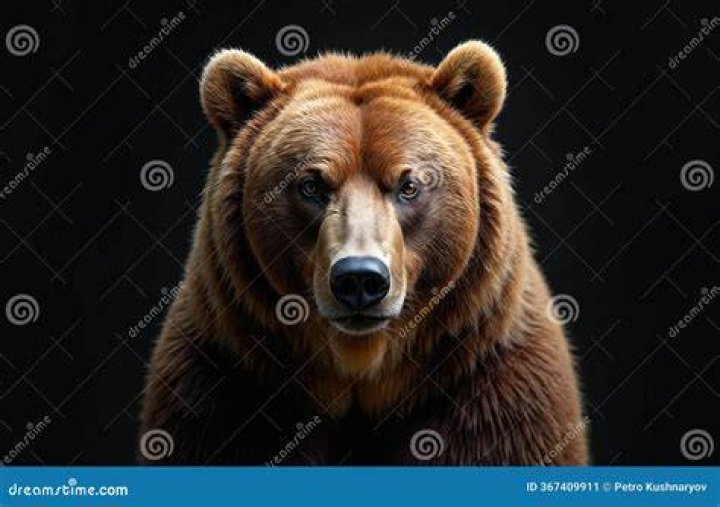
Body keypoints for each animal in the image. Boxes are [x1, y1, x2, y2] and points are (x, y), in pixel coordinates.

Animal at [139, 41, 588, 465]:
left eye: (409, 185)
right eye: (311, 185)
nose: (359, 278)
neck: (362, 373)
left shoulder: (491, 387)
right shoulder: (223, 383)